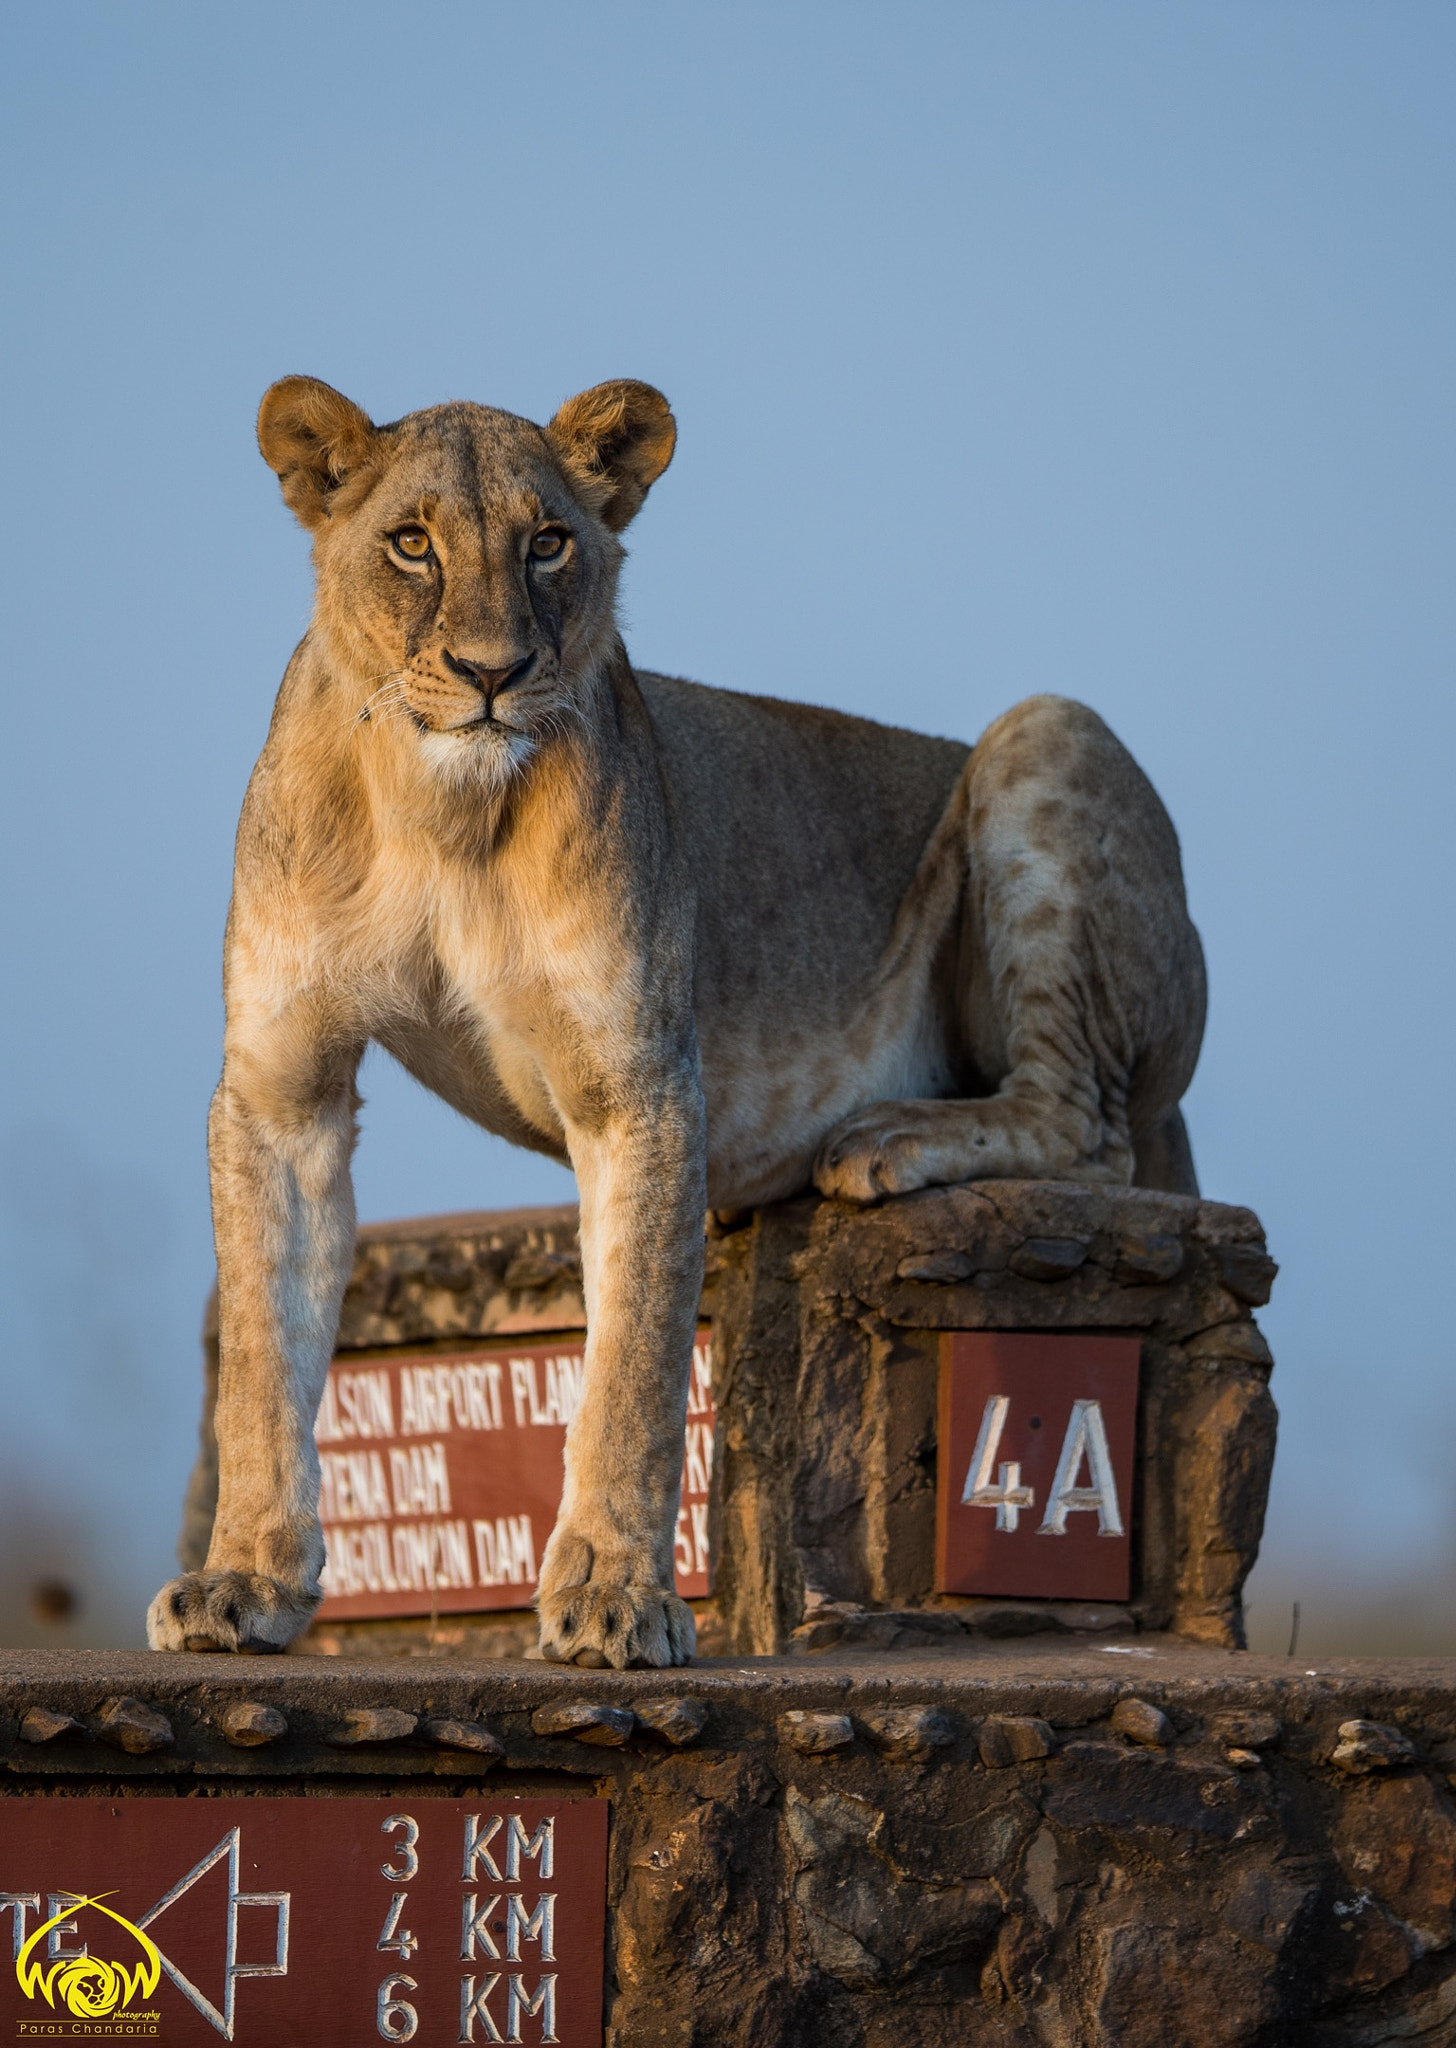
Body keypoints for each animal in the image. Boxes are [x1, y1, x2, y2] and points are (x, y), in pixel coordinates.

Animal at [147, 375, 1205, 1667]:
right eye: (411, 543)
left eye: (549, 543)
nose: (492, 671)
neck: (440, 810)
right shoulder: (280, 1085)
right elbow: (262, 1354)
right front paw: (241, 1579)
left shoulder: (637, 1084)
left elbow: (635, 1368)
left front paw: (613, 1593)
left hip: (1046, 728)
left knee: (1088, 1124)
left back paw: (884, 1136)